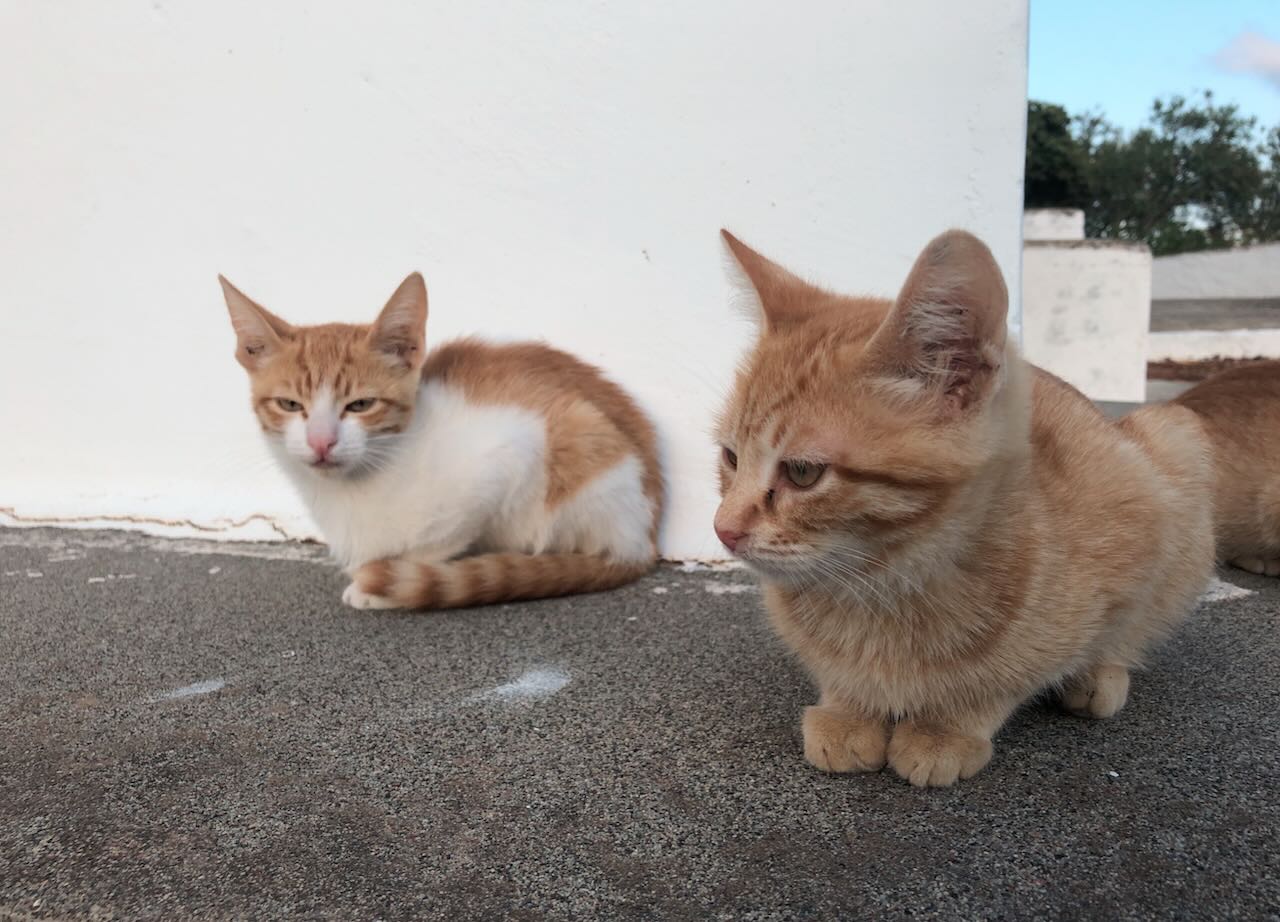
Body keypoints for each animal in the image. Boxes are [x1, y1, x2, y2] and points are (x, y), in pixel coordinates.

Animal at [218, 270, 660, 609]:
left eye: (361, 404)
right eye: (290, 404)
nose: (321, 442)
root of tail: (644, 540)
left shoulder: (509, 450)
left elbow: (439, 541)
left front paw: (383, 582)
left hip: (584, 441)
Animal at [716, 229, 1213, 783]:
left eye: (803, 472)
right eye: (731, 457)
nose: (722, 529)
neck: (884, 583)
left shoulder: (1137, 525)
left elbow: (1015, 673)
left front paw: (946, 728)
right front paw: (848, 709)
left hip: (1172, 442)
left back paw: (1098, 676)